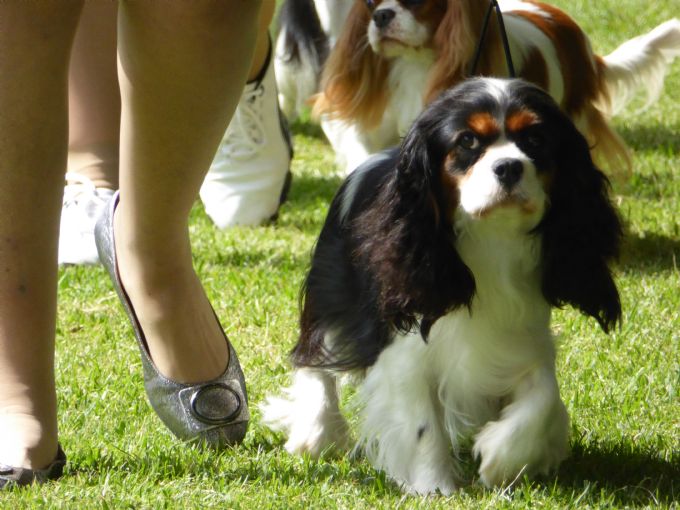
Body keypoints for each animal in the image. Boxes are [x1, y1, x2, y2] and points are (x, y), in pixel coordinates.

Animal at [263, 78, 623, 494]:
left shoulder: (524, 339)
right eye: (467, 141)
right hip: (330, 294)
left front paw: (501, 458)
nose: (509, 166)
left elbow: (544, 398)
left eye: (535, 139)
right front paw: (434, 488)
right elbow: (422, 424)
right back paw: (316, 433)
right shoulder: (405, 351)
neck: (491, 236)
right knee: (314, 358)